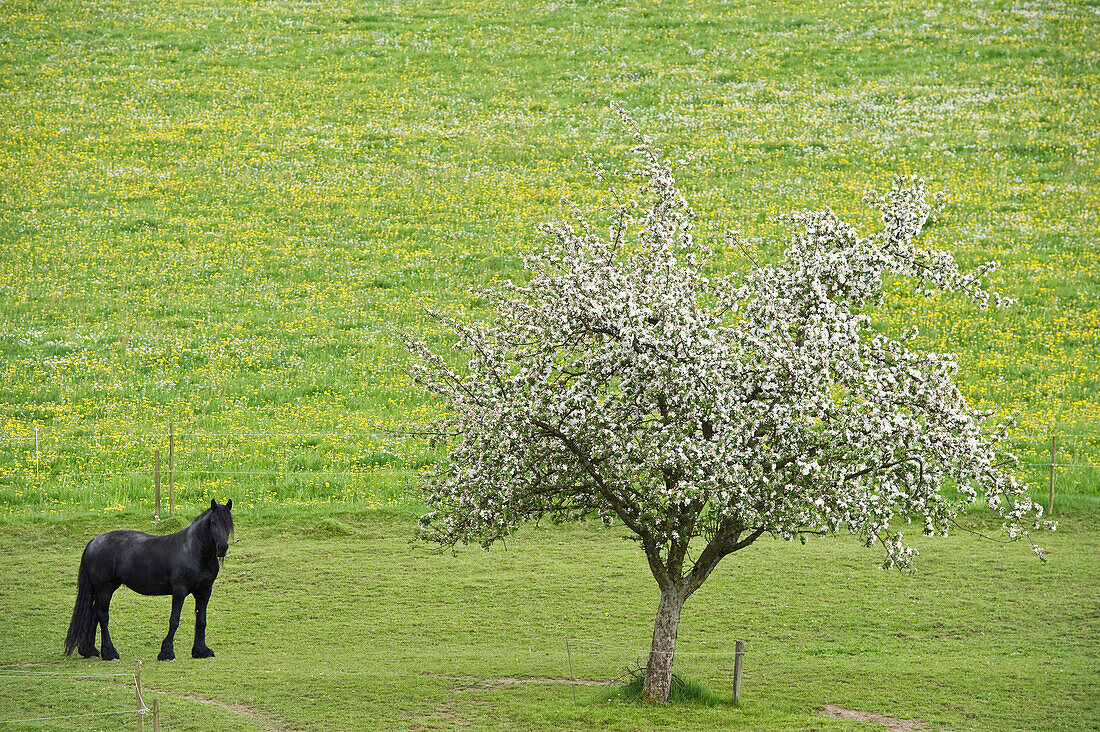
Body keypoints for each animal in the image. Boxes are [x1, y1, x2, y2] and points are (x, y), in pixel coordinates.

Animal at [63, 499, 232, 660]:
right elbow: (174, 620)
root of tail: (93, 541)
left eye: (229, 523)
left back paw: (90, 651)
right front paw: (166, 653)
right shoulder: (179, 591)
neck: (193, 550)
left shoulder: (204, 592)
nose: (222, 548)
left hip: (104, 589)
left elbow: (201, 621)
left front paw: (201, 651)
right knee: (102, 616)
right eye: (213, 522)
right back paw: (110, 653)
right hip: (104, 589)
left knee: (93, 614)